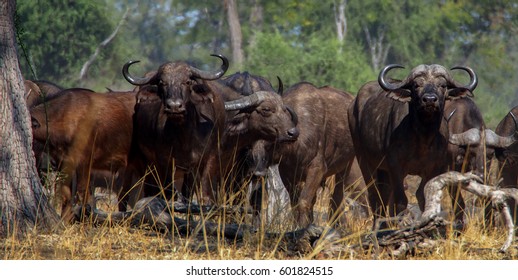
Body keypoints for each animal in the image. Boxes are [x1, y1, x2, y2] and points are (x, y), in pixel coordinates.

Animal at [350, 64, 480, 229]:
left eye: (442, 85)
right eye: (416, 85)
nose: (429, 100)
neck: (422, 138)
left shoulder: (434, 168)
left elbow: (423, 195)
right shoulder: (396, 166)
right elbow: (400, 200)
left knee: (385, 193)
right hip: (365, 160)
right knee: (375, 195)